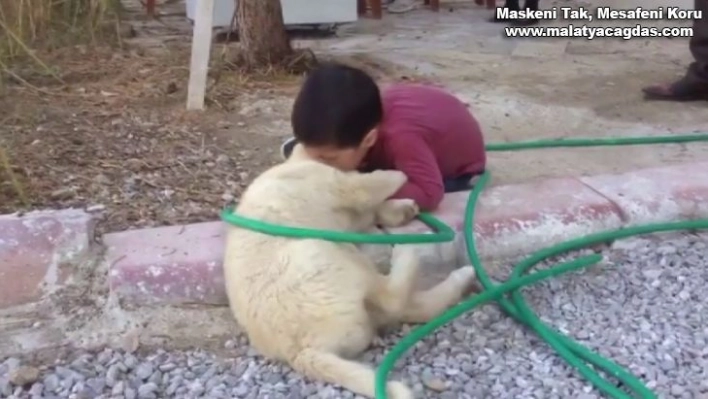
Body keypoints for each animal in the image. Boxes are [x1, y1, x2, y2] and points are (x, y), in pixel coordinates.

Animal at [221, 148, 476, 399]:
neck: (295, 163)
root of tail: (301, 351)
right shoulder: (340, 185)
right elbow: (371, 185)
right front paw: (397, 178)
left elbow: (370, 209)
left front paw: (401, 209)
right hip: (323, 253)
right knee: (392, 301)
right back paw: (410, 254)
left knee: (407, 307)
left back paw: (461, 276)